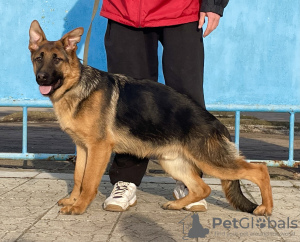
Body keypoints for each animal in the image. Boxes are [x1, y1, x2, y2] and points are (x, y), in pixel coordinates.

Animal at [29, 20, 274, 216]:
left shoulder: (98, 149)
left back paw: (266, 208)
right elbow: (78, 177)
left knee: (259, 170)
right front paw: (72, 200)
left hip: (211, 162)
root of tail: (216, 123)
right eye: (39, 58)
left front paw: (79, 207)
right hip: (172, 162)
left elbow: (88, 182)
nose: (41, 78)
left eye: (57, 60)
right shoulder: (82, 148)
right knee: (202, 188)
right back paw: (177, 205)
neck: (76, 87)